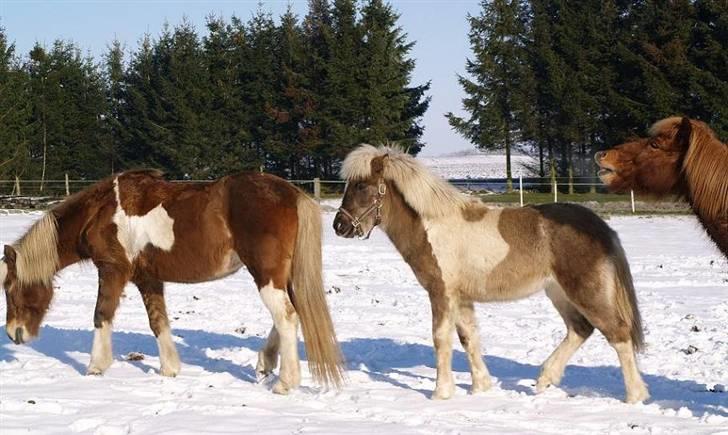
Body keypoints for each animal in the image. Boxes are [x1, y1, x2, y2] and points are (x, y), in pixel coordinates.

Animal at [0, 170, 344, 396]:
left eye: (10, 287)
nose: (14, 334)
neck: (100, 212)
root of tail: (290, 192)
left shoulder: (112, 271)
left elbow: (101, 315)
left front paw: (96, 366)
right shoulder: (147, 279)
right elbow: (158, 322)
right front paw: (170, 369)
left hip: (266, 274)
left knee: (286, 317)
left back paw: (285, 382)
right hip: (281, 275)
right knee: (292, 312)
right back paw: (265, 363)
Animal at [336, 146, 648, 406]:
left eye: (361, 186)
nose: (339, 225)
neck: (433, 225)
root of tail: (601, 228)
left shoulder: (441, 292)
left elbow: (441, 338)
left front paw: (441, 392)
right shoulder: (460, 297)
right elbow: (468, 337)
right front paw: (480, 387)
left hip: (585, 291)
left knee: (618, 333)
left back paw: (634, 396)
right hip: (558, 292)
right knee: (580, 329)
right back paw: (545, 379)